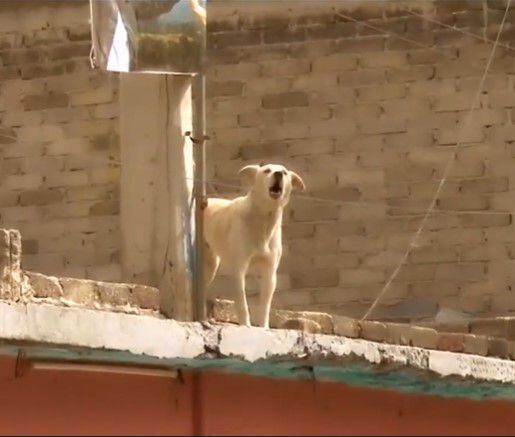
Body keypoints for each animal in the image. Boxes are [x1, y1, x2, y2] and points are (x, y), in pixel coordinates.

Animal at [203, 164, 306, 328]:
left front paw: (264, 327)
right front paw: (246, 325)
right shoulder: (238, 270)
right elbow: (242, 304)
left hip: (211, 264)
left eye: (284, 172)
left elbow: (265, 305)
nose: (278, 174)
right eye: (267, 170)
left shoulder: (269, 273)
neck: (264, 219)